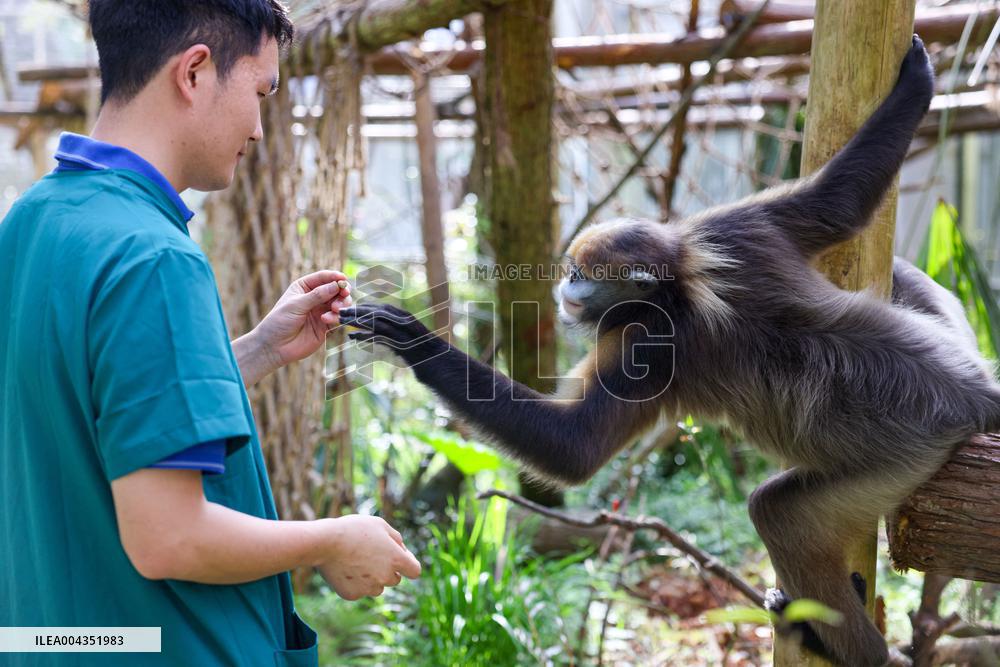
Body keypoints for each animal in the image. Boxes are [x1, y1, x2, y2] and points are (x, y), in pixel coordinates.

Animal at [339, 36, 1000, 666]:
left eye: (580, 276)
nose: (562, 289)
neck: (681, 284)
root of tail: (972, 391)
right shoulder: (731, 233)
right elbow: (839, 203)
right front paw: (918, 81)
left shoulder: (648, 342)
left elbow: (573, 450)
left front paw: (412, 340)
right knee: (899, 271)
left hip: (905, 455)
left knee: (777, 511)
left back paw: (843, 645)